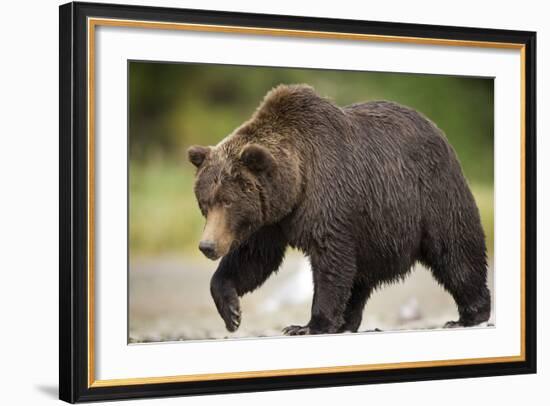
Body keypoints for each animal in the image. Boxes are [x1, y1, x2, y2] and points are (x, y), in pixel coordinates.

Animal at [189, 84, 492, 334]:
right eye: (205, 202)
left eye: (228, 200)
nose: (207, 246)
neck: (295, 185)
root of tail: (437, 129)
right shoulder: (271, 218)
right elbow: (254, 258)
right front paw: (232, 312)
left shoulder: (327, 197)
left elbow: (330, 259)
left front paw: (310, 325)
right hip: (373, 229)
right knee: (360, 277)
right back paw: (348, 321)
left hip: (430, 195)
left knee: (454, 250)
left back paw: (469, 314)